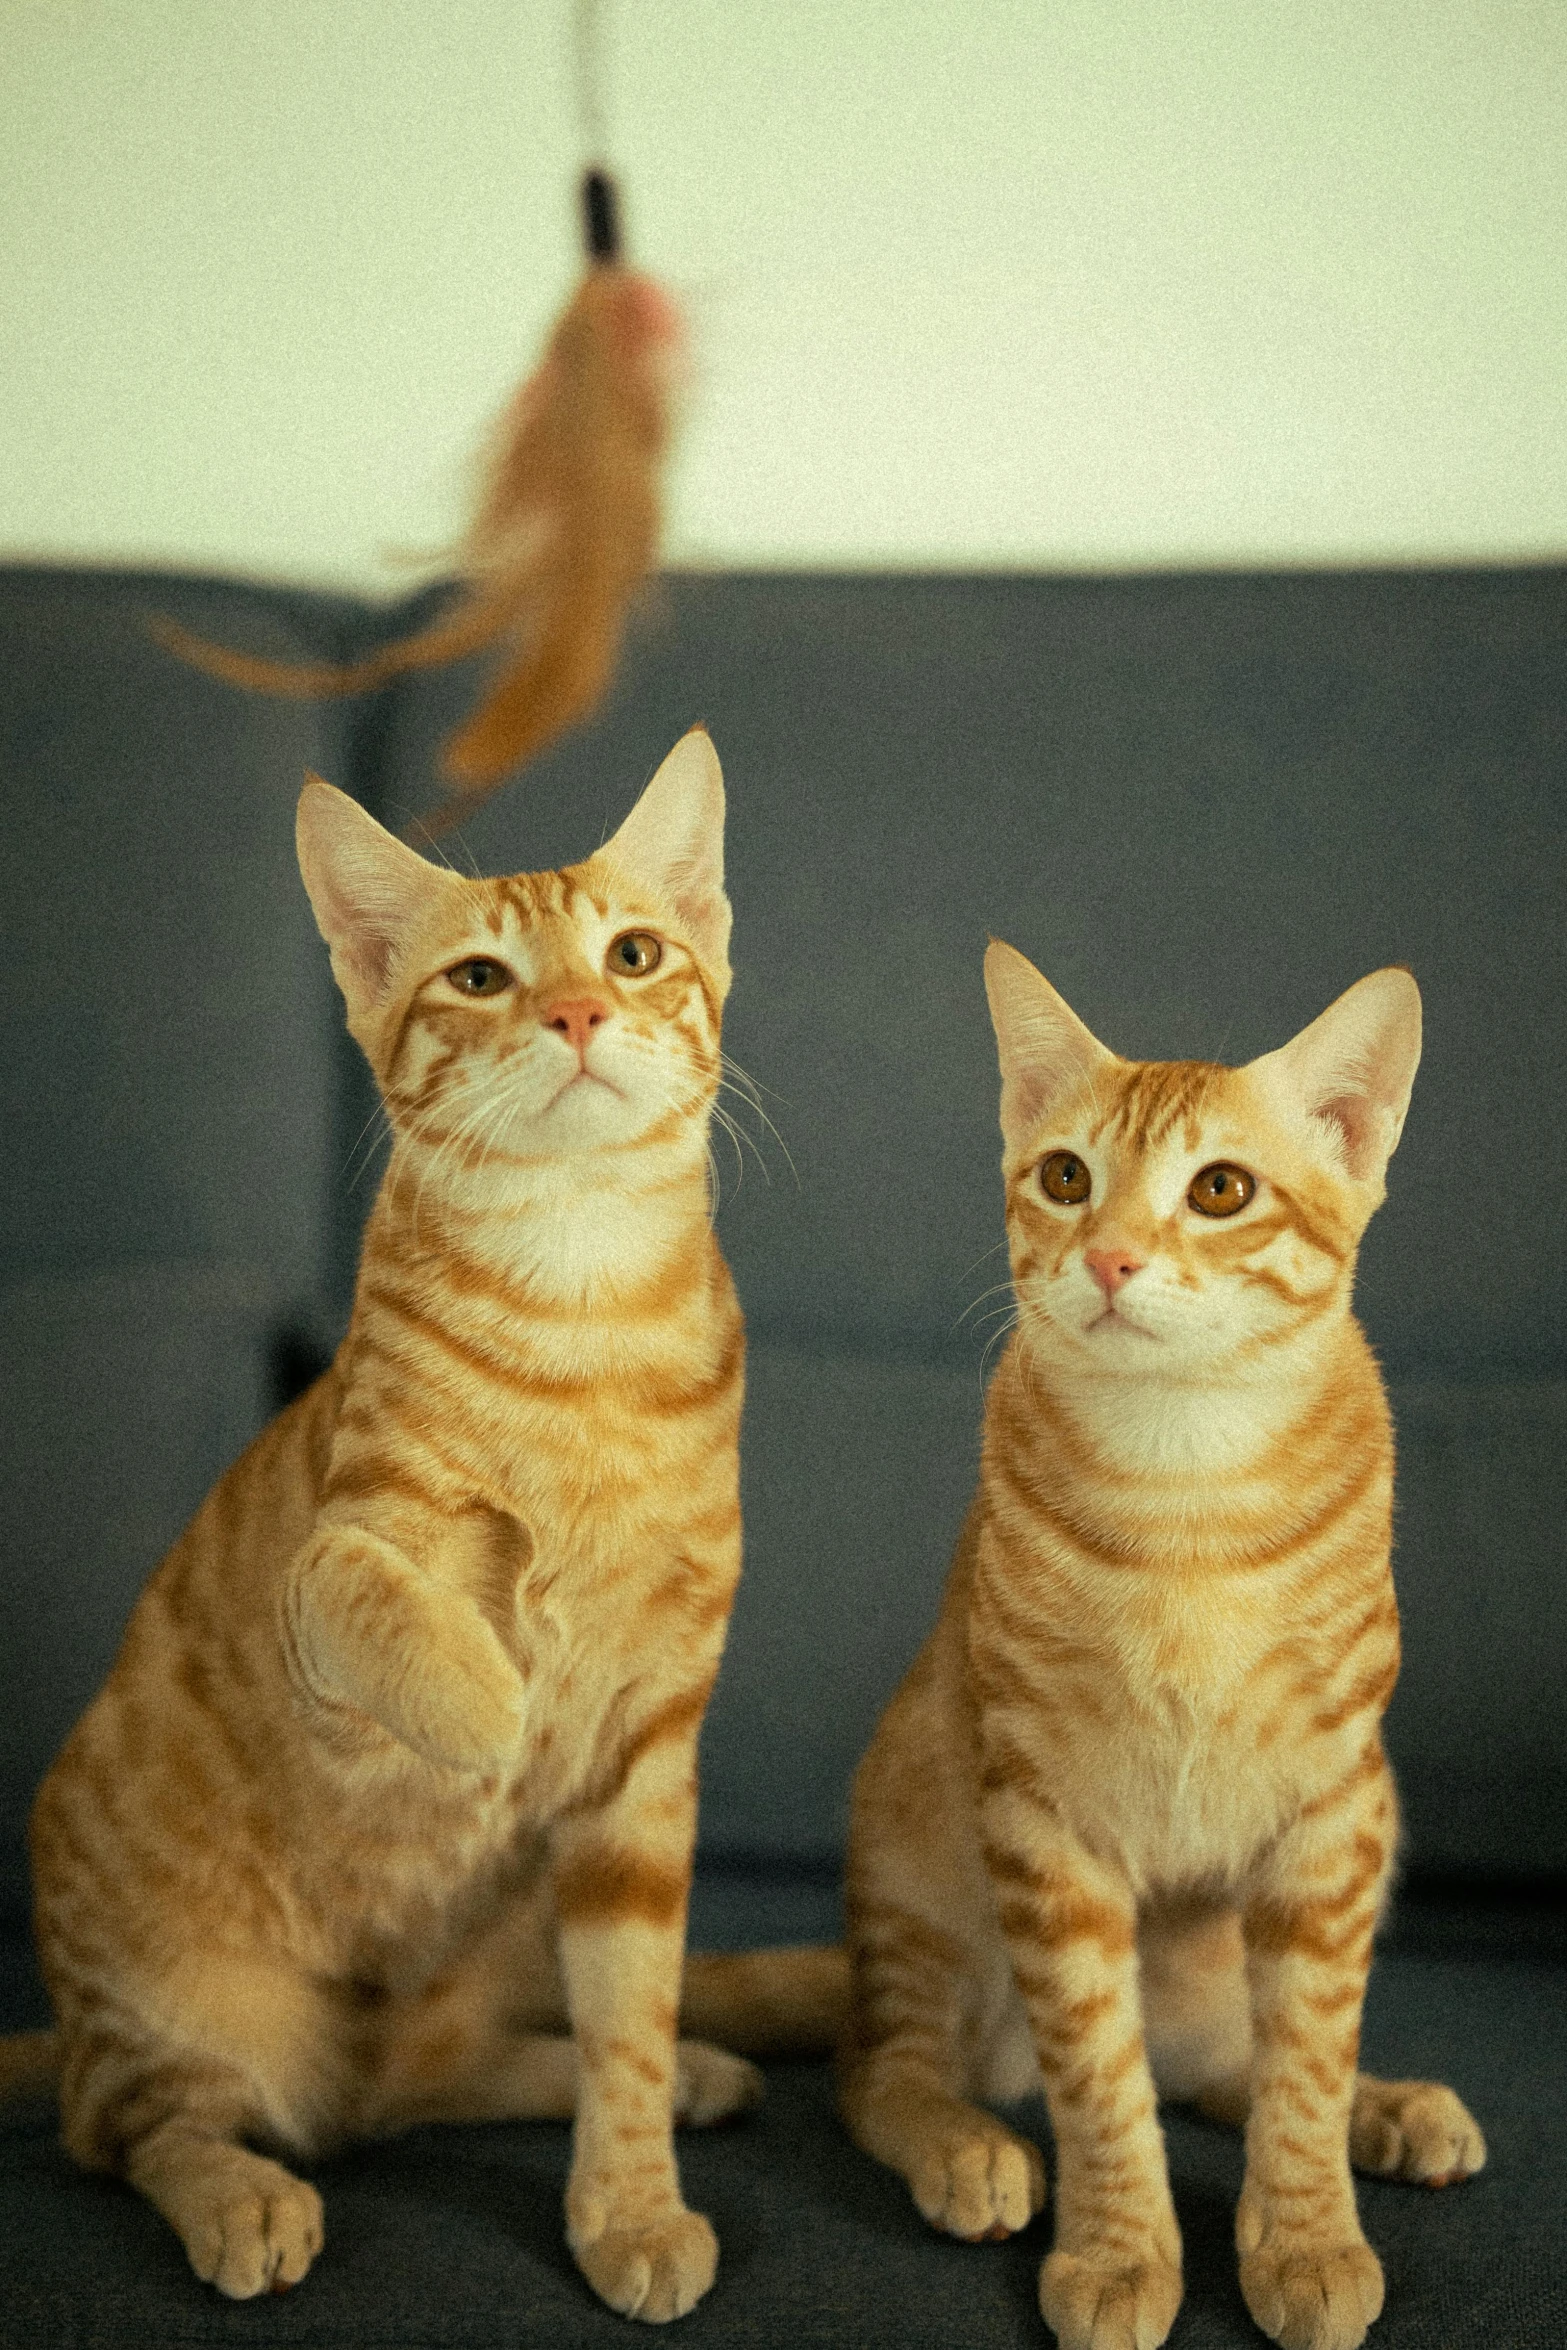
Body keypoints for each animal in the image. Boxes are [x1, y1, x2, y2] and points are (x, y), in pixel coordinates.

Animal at [21, 728, 822, 2312]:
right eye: (478, 976)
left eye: (633, 952)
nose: (576, 1008)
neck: (585, 1320)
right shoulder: (335, 1580)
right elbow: (377, 1594)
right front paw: (492, 1700)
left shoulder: (647, 1760)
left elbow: (627, 2013)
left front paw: (629, 2204)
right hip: (177, 2010)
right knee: (143, 2126)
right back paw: (241, 2197)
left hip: (494, 1950)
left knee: (429, 2074)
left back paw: (710, 2056)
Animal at [845, 939, 1484, 2350]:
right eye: (1065, 1178)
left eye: (1220, 1189)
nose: (1111, 1259)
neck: (1184, 1486)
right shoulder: (1043, 1815)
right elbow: (1100, 2074)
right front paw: (1119, 2248)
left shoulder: (1333, 1807)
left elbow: (1306, 2057)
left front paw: (1304, 2232)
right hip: (916, 1841)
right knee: (879, 2071)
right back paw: (965, 2142)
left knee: (1230, 2067)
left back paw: (1390, 2109)